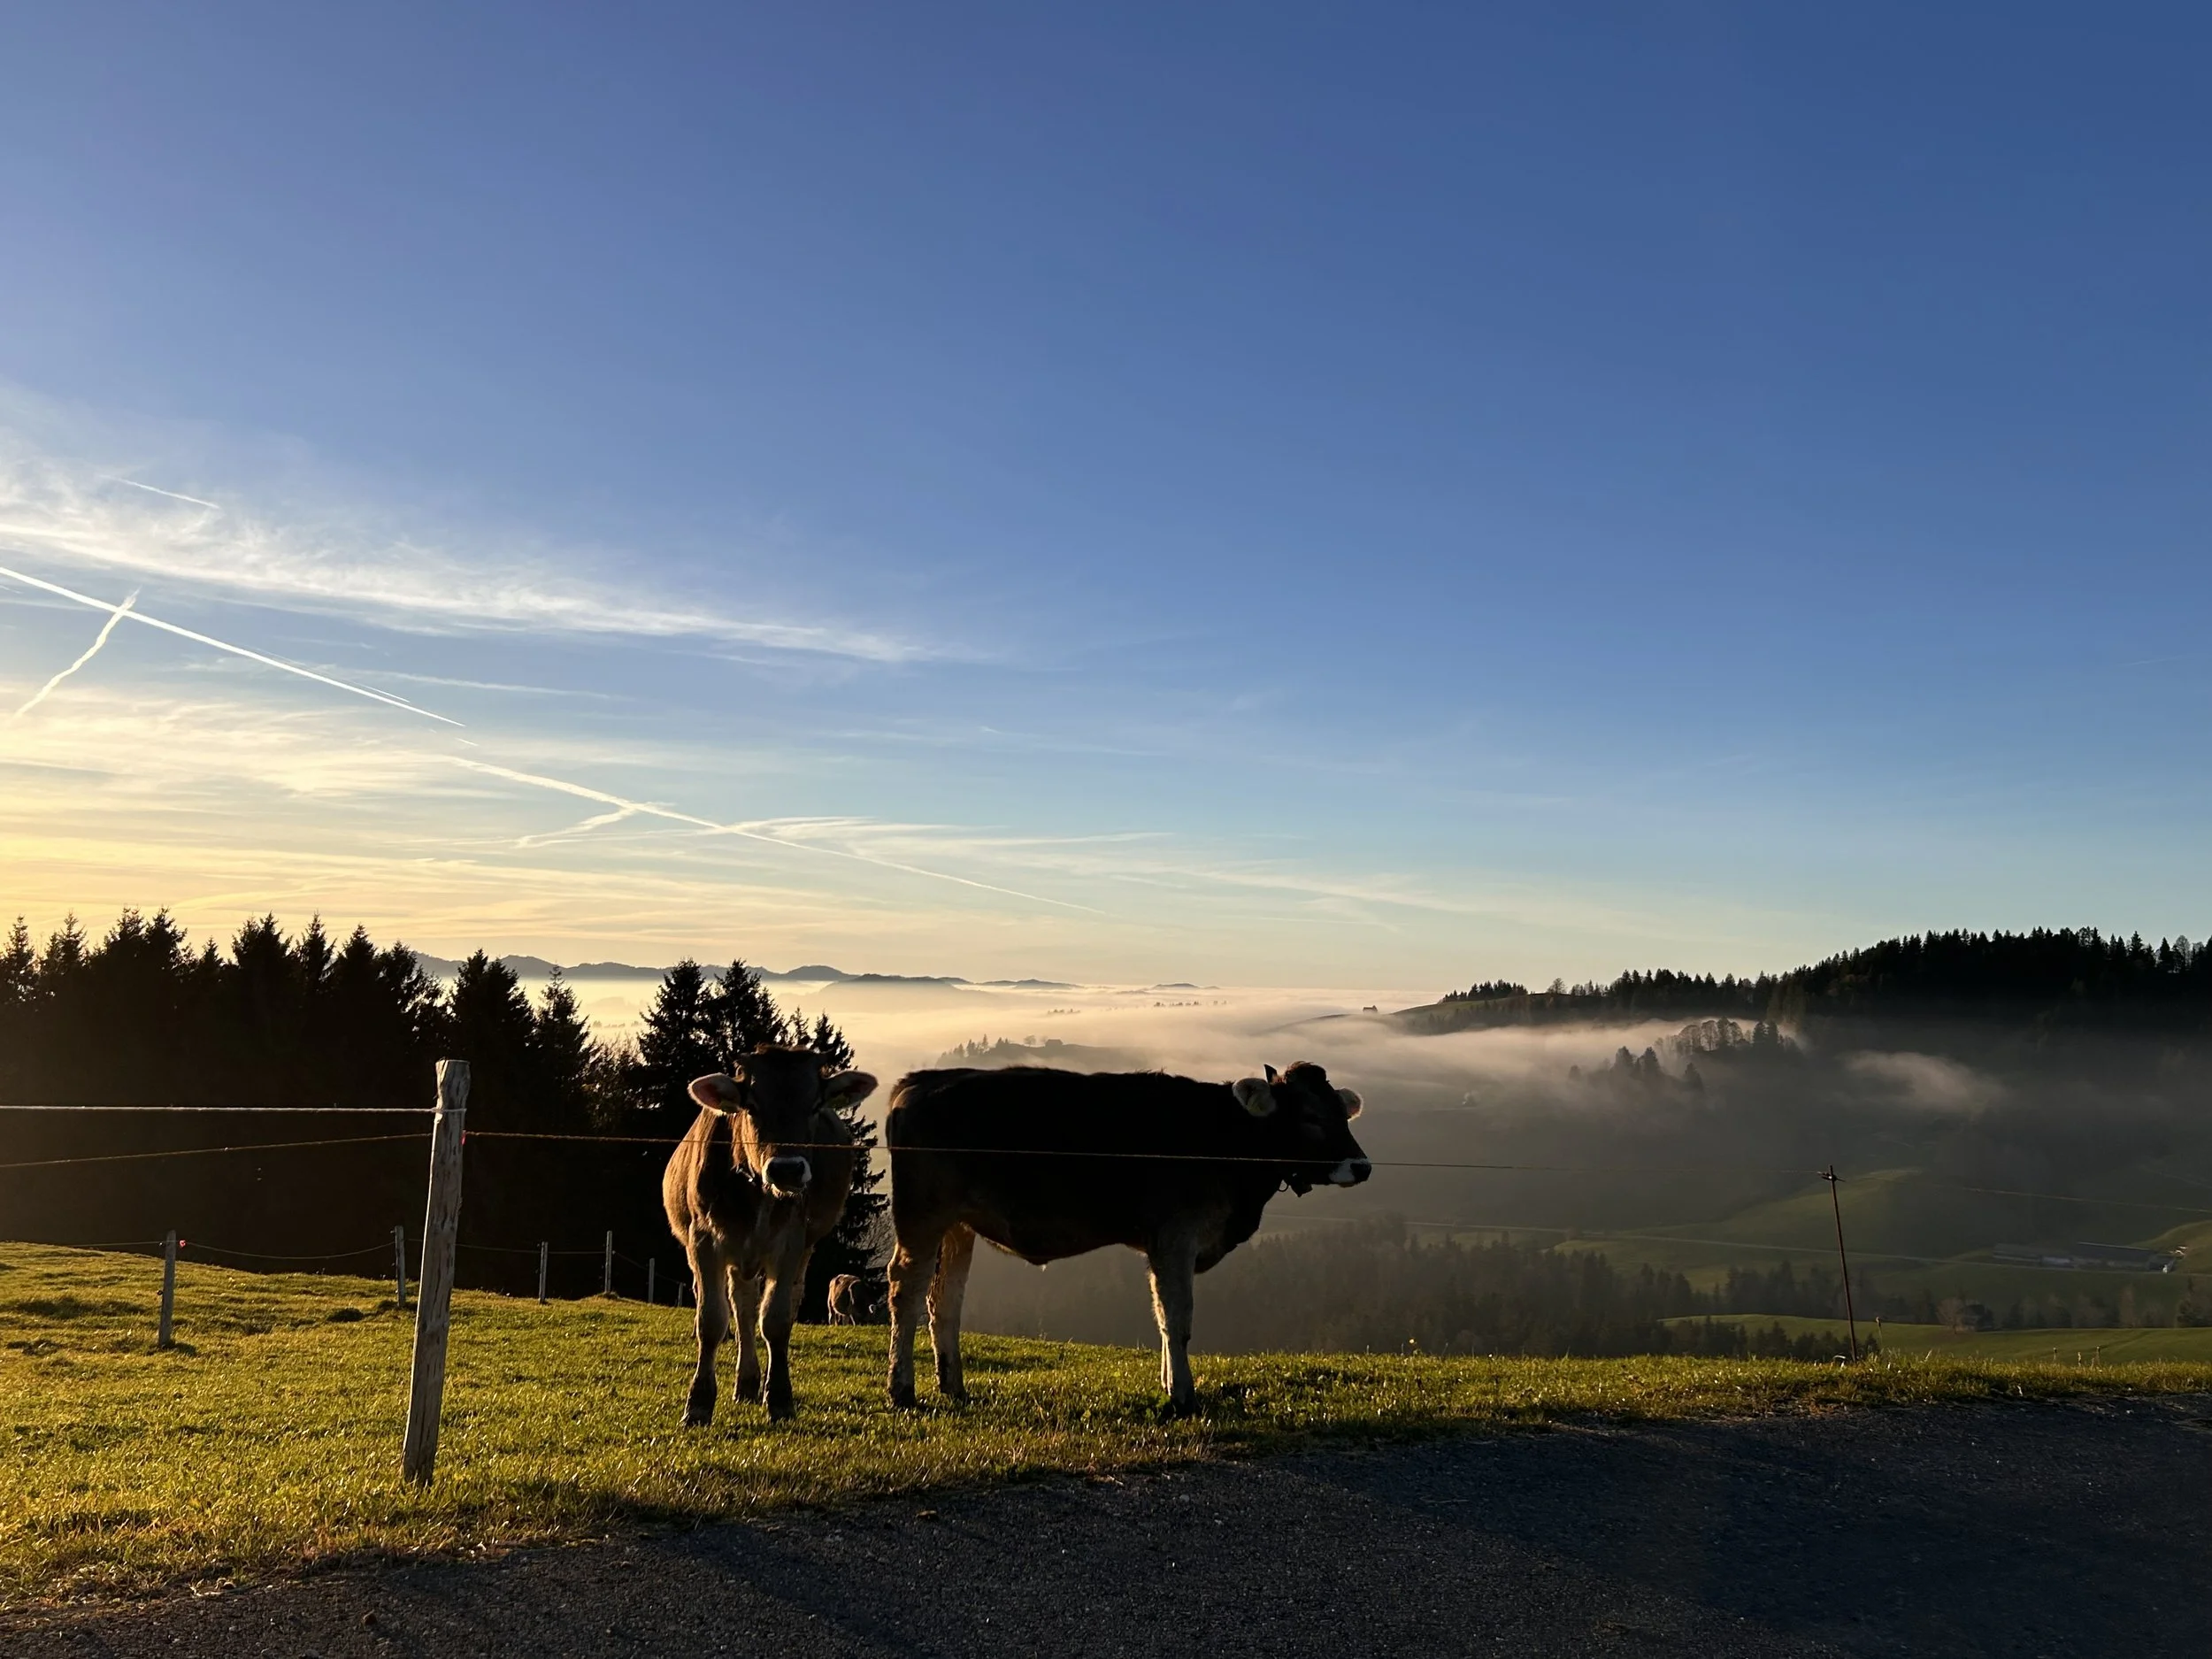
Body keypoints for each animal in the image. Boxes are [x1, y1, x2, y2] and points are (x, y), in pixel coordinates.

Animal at [662, 1045, 877, 1423]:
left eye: (815, 1105)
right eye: (751, 1106)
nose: (787, 1169)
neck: (757, 1195)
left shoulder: (790, 1242)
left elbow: (775, 1321)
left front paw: (778, 1398)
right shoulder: (704, 1240)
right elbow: (712, 1320)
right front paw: (698, 1402)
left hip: (799, 1250)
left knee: (773, 1306)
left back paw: (752, 1384)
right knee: (742, 1307)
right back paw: (746, 1383)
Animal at [882, 1060, 1369, 1413]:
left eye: (1344, 1115)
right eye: (1310, 1116)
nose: (1362, 1166)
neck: (1227, 1145)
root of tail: (919, 1080)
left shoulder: (1160, 1243)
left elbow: (1161, 1315)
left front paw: (1169, 1382)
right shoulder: (1176, 1236)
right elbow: (1178, 1318)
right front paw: (1183, 1396)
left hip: (958, 1225)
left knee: (944, 1300)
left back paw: (953, 1386)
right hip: (922, 1215)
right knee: (905, 1291)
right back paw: (901, 1388)